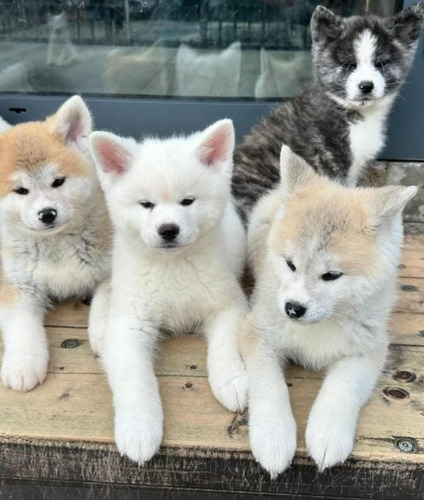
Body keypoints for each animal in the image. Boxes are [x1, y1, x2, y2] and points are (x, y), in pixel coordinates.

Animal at [0, 96, 111, 390]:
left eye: (58, 182)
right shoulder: (19, 287)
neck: (56, 245)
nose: (47, 213)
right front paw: (23, 363)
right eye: (21, 190)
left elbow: (106, 306)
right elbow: (22, 329)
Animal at [242, 145, 418, 476]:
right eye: (290, 264)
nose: (293, 309)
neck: (318, 327)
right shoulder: (257, 333)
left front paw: (328, 434)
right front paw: (273, 436)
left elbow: (341, 390)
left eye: (332, 275)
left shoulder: (368, 349)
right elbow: (269, 387)